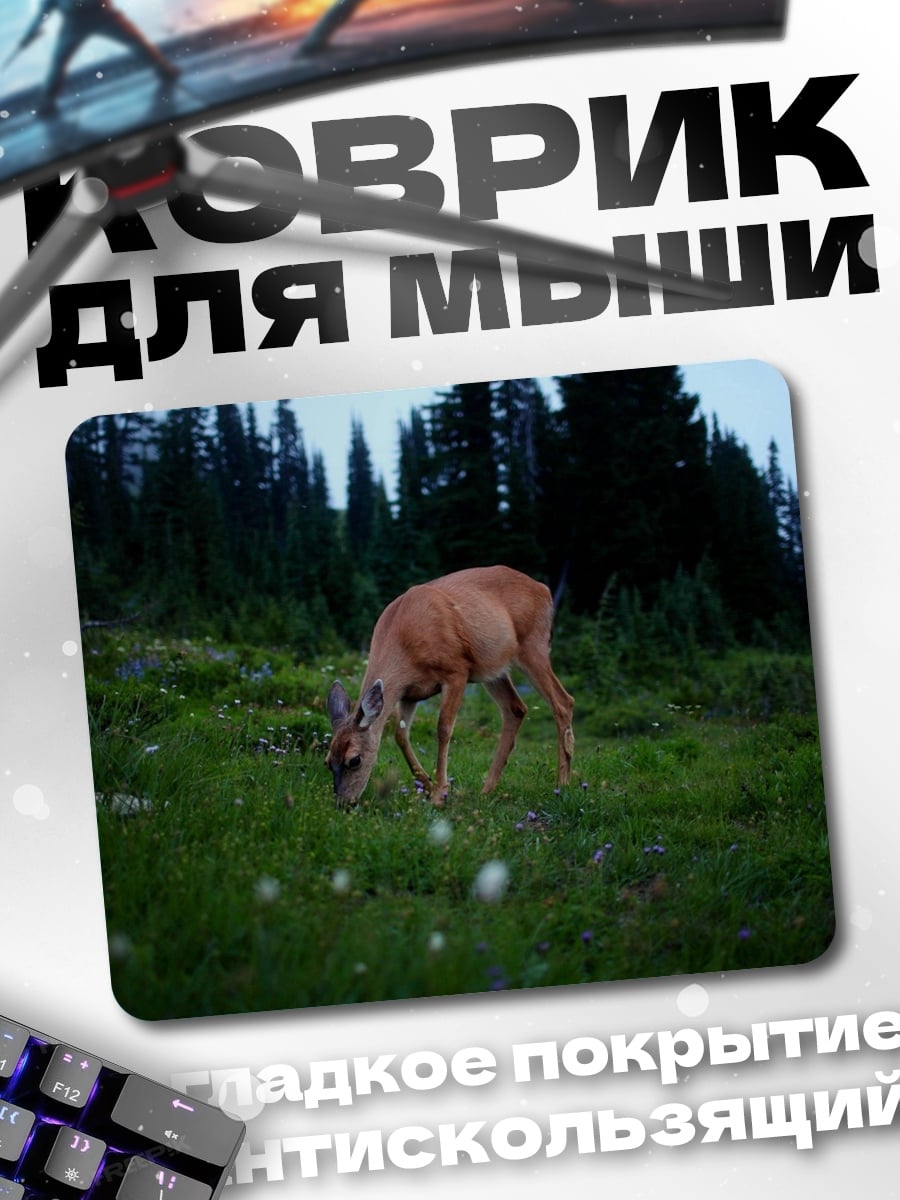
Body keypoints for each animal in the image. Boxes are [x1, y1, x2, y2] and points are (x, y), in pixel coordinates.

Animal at [325, 565, 574, 808]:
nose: (343, 803)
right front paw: (427, 784)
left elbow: (443, 729)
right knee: (516, 708)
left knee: (563, 701)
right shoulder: (409, 693)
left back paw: (561, 784)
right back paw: (487, 789)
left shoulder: (456, 670)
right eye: (328, 761)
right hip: (492, 668)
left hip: (533, 645)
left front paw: (440, 793)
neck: (404, 641)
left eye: (354, 760)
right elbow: (400, 735)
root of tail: (544, 589)